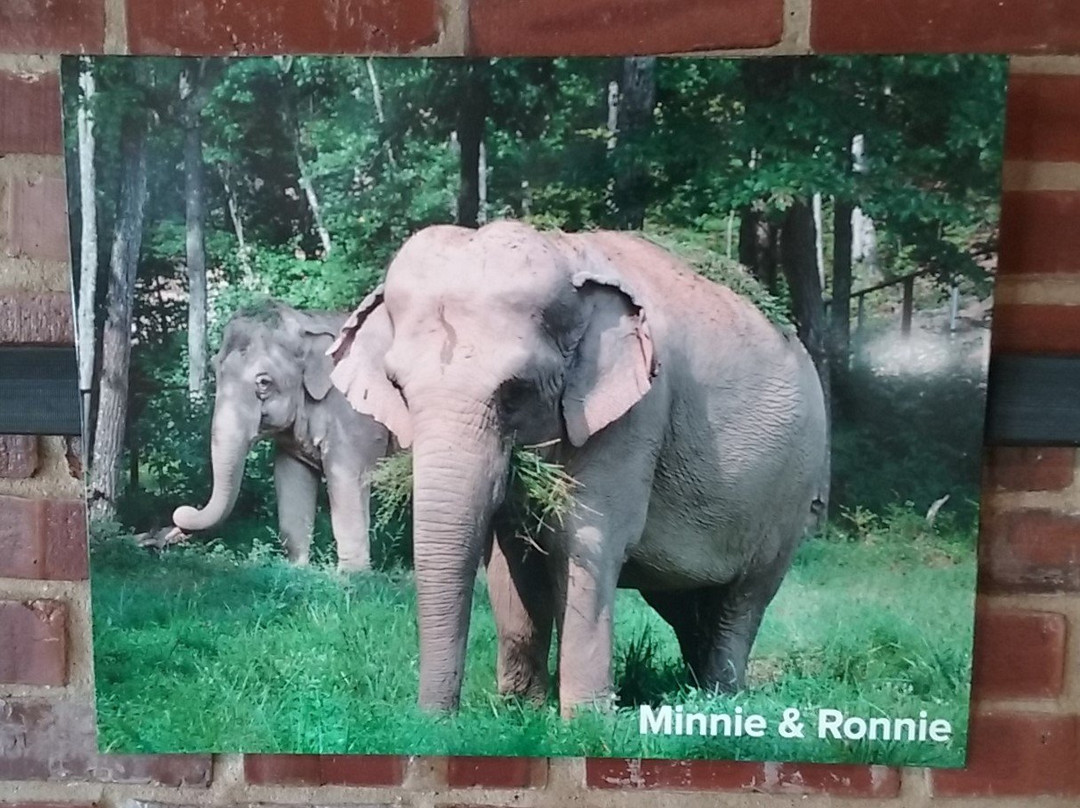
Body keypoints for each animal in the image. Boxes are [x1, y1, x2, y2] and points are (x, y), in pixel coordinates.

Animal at [172, 301, 391, 572]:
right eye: (215, 369)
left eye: (264, 382)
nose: (180, 515)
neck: (308, 321)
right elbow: (291, 476)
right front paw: (298, 568)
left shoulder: (355, 415)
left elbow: (349, 477)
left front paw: (353, 576)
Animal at [329, 220, 828, 714]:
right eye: (398, 388)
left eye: (515, 391)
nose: (435, 721)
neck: (566, 253)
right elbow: (512, 555)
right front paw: (521, 710)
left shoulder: (637, 414)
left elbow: (583, 538)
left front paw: (585, 719)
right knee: (686, 603)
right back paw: (695, 690)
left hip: (791, 490)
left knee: (745, 597)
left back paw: (720, 697)